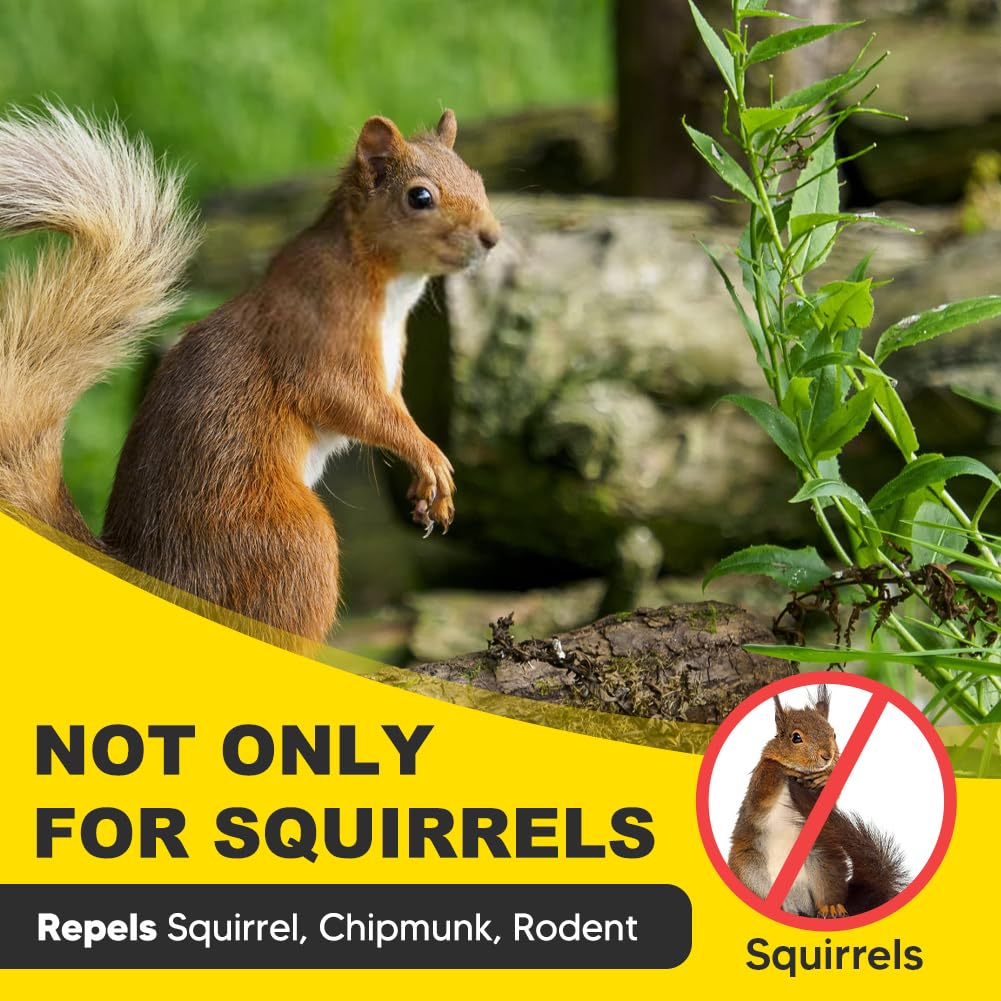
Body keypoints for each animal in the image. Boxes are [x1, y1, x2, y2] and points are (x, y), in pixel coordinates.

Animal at [0, 103, 500, 644]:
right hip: (292, 538)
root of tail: (161, 584)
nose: (492, 238)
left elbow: (394, 410)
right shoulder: (317, 341)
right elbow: (352, 404)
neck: (385, 281)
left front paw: (428, 490)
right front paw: (430, 458)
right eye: (420, 197)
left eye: (477, 177)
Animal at [728, 684, 909, 918]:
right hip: (749, 869)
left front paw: (826, 776)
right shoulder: (757, 791)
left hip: (824, 863)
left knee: (828, 892)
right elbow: (764, 788)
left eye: (834, 734)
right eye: (796, 738)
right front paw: (779, 767)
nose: (827, 755)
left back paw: (831, 907)